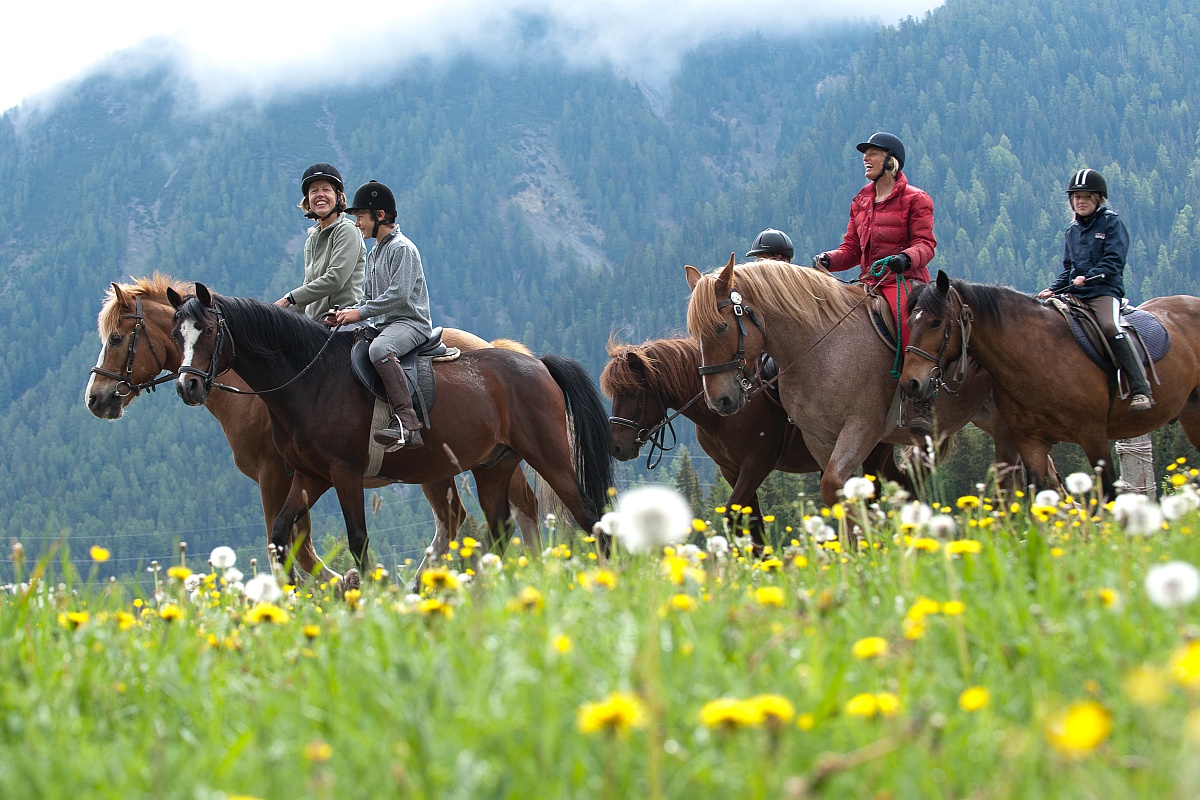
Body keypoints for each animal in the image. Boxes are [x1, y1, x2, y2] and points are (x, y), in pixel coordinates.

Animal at [87, 275, 547, 582]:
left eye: (116, 338)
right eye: (177, 335)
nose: (96, 398)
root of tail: (491, 348)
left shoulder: (277, 474)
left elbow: (295, 546)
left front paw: (333, 585)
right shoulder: (304, 477)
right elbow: (290, 541)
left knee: (508, 509)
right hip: (440, 467)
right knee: (460, 517)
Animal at [171, 284, 609, 585]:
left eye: (208, 330)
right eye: (177, 336)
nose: (187, 386)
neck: (311, 379)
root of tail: (539, 363)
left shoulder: (343, 475)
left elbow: (358, 540)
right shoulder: (309, 477)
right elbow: (280, 536)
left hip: (549, 458)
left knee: (589, 515)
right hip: (492, 467)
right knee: (499, 531)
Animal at [600, 338, 907, 544]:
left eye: (629, 392)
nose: (615, 446)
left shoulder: (756, 465)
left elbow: (732, 515)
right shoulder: (730, 469)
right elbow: (753, 519)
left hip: (871, 450)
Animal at [902, 272, 1200, 496]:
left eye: (936, 322)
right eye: (910, 322)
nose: (911, 383)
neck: (1038, 355)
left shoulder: (1094, 436)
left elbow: (1107, 494)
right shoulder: (1030, 443)